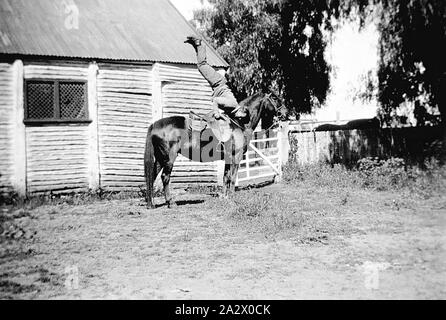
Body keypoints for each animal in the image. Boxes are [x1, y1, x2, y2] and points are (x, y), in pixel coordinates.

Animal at [145, 91, 280, 209]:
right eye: (274, 98)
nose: (282, 113)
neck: (239, 123)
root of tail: (155, 125)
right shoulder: (236, 156)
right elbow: (233, 178)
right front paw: (232, 197)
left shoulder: (227, 158)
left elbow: (226, 177)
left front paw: (224, 197)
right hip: (169, 158)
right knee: (165, 177)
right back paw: (170, 202)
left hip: (160, 158)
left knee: (152, 176)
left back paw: (151, 203)